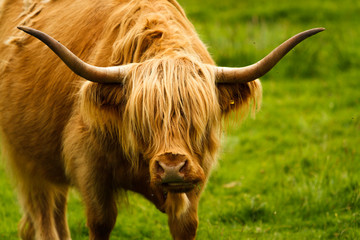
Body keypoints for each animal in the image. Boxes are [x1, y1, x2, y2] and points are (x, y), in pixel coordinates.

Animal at [0, 0, 320, 240]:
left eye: (197, 118)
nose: (172, 167)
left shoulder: (197, 174)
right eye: (143, 119)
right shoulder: (89, 167)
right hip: (27, 160)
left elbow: (185, 225)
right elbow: (101, 221)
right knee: (43, 216)